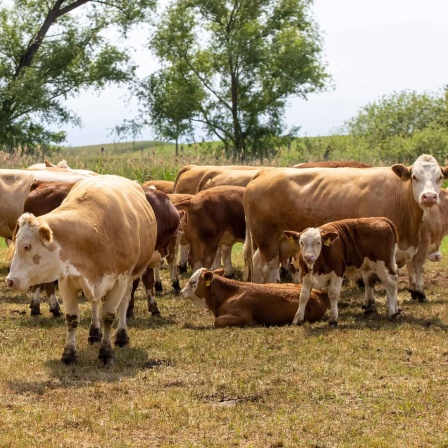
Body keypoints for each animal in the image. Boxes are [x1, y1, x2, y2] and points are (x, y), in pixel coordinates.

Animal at [5, 173, 158, 366]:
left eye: (27, 246)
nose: (10, 281)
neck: (97, 231)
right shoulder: (67, 280)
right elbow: (72, 319)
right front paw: (69, 354)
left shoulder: (120, 280)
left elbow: (108, 316)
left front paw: (106, 352)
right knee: (95, 303)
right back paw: (94, 333)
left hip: (130, 278)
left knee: (123, 304)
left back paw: (121, 336)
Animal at [179, 268, 328, 328]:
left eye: (193, 282)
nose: (181, 292)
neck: (229, 293)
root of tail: (318, 293)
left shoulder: (244, 317)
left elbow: (217, 321)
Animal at [245, 153, 448, 294]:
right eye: (415, 176)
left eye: (439, 177)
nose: (429, 197)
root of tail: (263, 173)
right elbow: (372, 277)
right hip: (268, 240)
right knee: (270, 269)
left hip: (275, 242)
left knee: (257, 262)